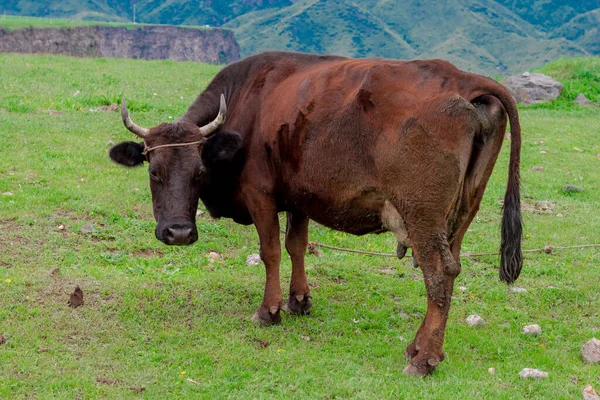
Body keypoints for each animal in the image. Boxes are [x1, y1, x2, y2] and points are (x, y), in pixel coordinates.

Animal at [110, 50, 524, 376]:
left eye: (199, 172)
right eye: (154, 170)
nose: (178, 233)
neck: (249, 100)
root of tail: (462, 79)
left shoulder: (260, 195)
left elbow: (270, 251)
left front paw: (269, 310)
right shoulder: (301, 198)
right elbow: (296, 246)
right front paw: (299, 301)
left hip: (422, 215)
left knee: (439, 274)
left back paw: (424, 360)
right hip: (461, 214)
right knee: (452, 268)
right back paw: (419, 348)